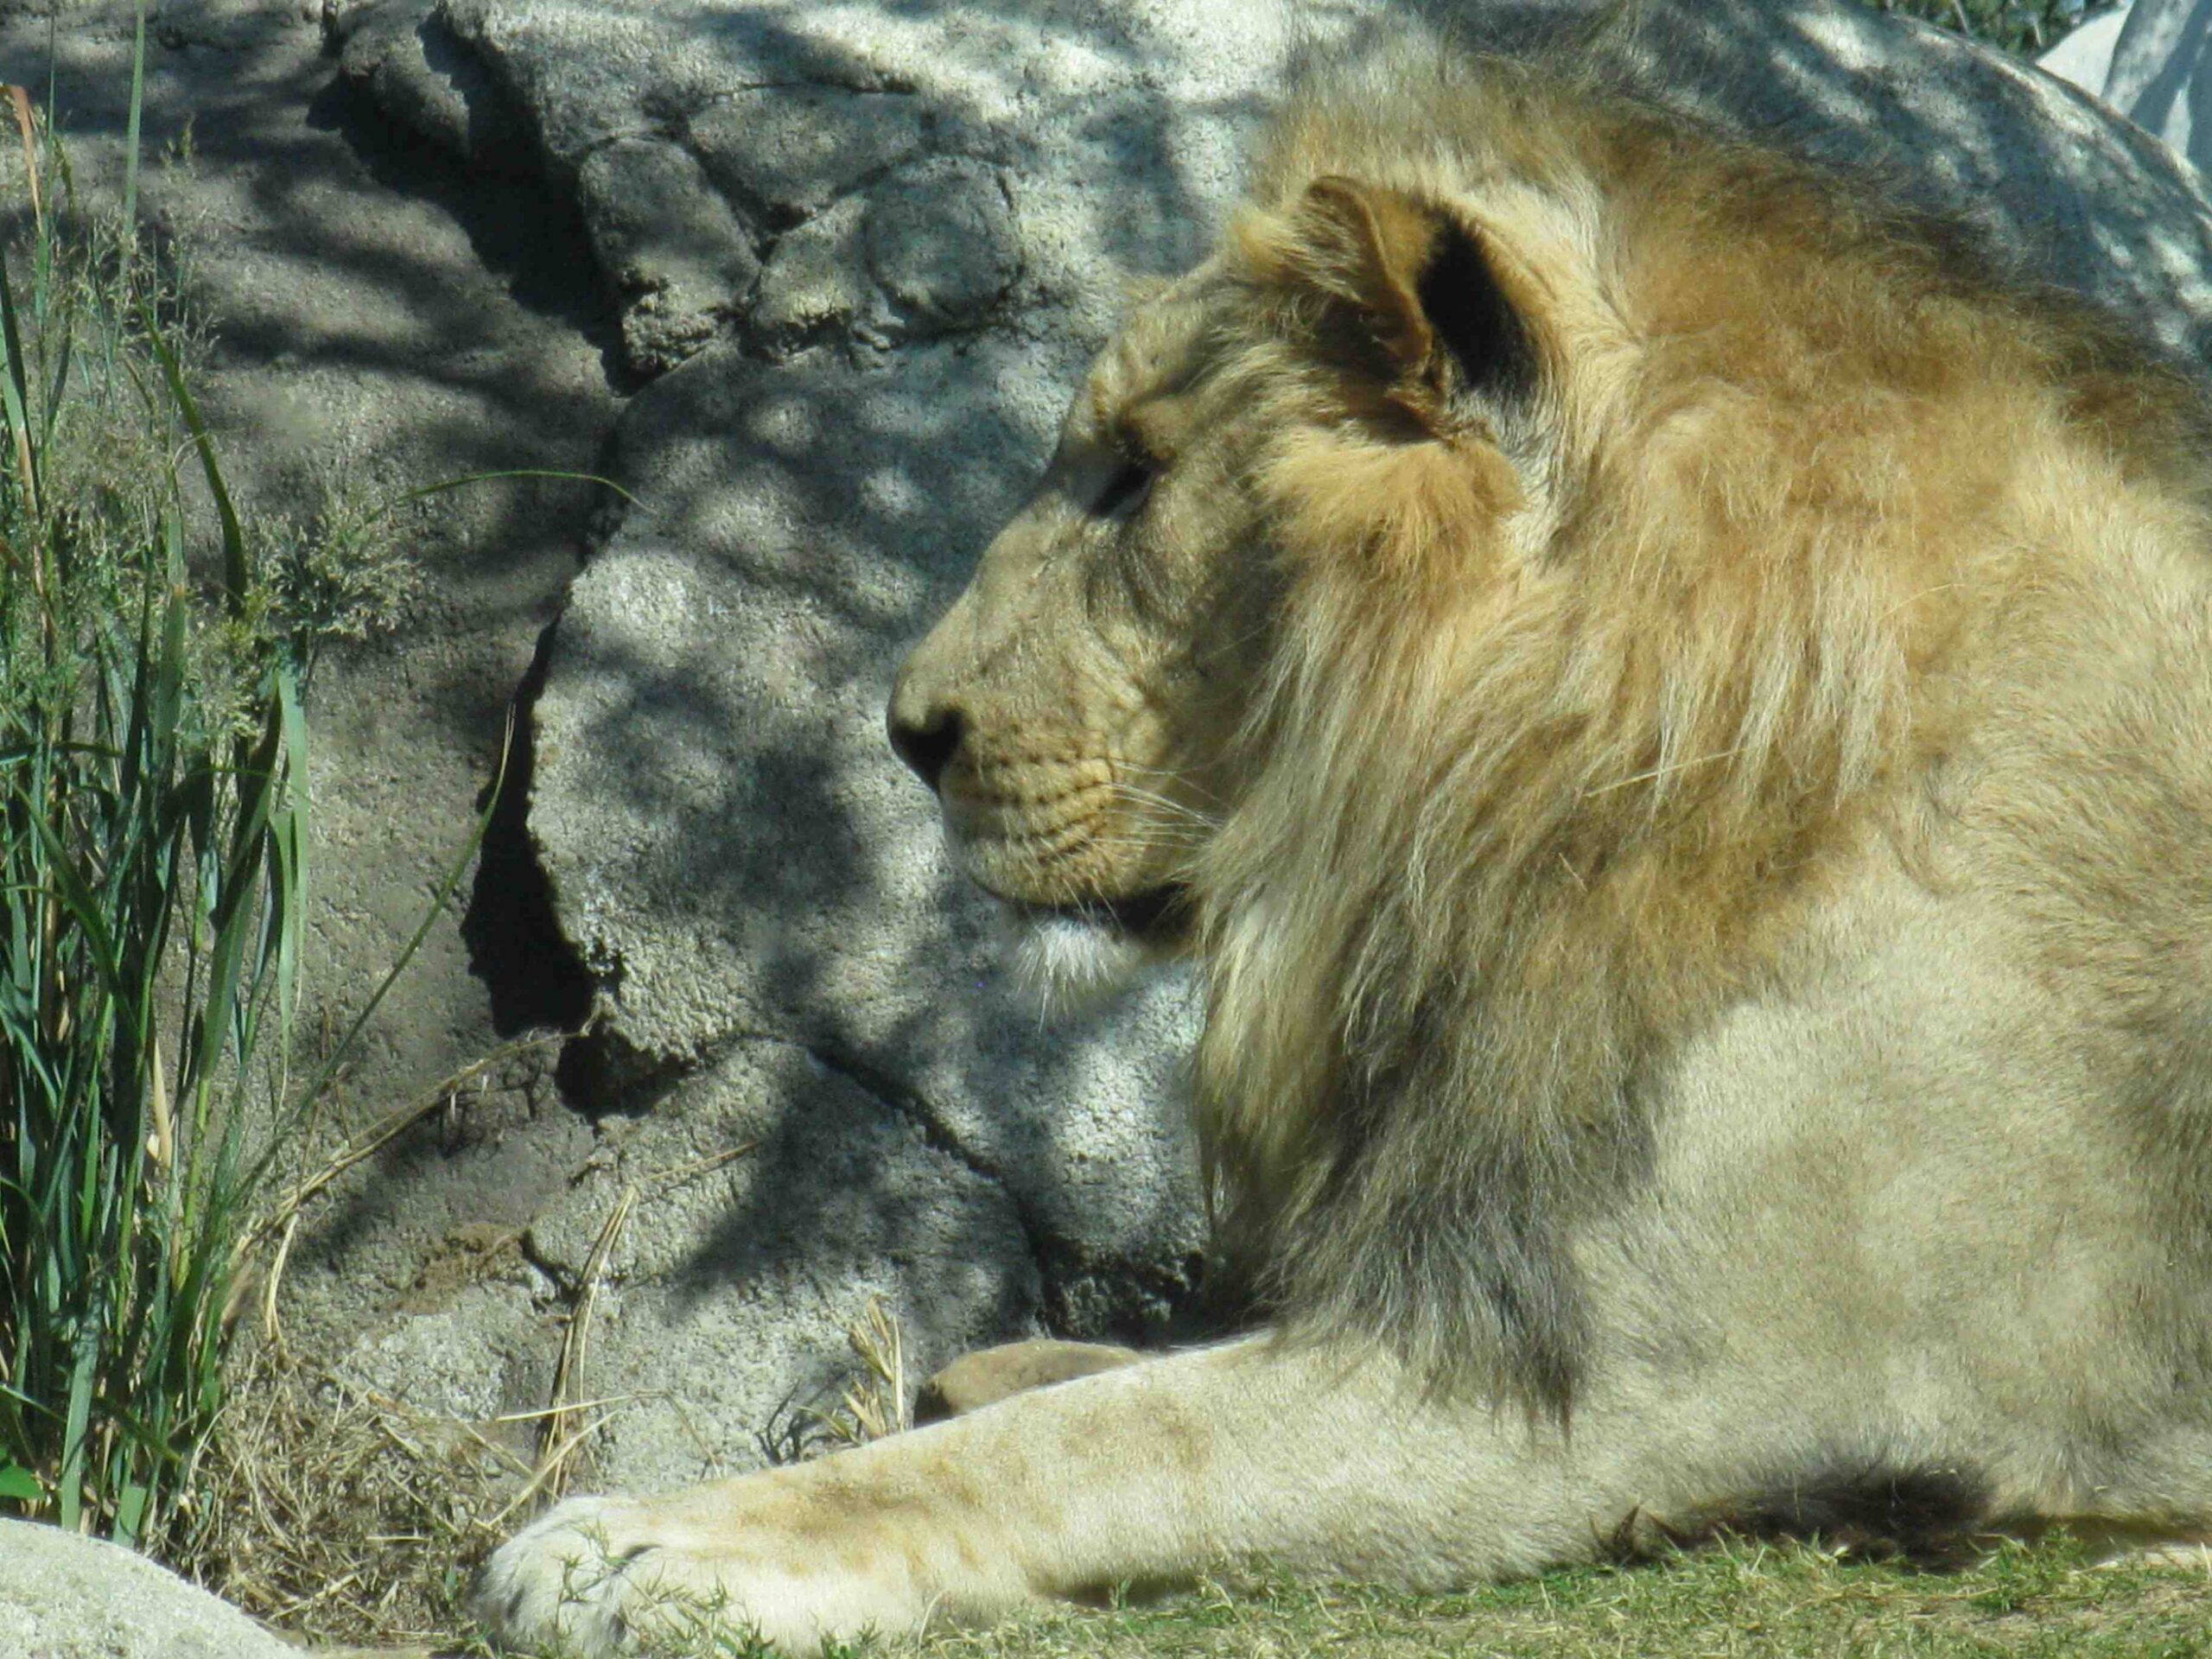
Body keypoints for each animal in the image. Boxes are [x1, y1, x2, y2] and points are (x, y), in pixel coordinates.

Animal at [475, 19, 2212, 1654]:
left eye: (1135, 477)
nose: (911, 732)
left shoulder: (1634, 1387)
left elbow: (1105, 1442)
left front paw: (641, 1545)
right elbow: (1107, 1384)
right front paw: (994, 1361)